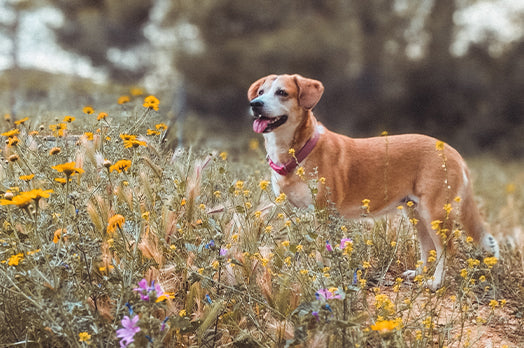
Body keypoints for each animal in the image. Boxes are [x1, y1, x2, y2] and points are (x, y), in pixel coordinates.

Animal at [248, 74, 502, 290]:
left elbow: (323, 252)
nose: (255, 104)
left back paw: (436, 283)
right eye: (261, 91)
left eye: (282, 92)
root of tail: (452, 151)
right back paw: (418, 274)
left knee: (446, 249)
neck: (299, 150)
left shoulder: (324, 213)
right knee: (427, 246)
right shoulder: (296, 212)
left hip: (435, 213)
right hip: (415, 213)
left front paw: (322, 278)